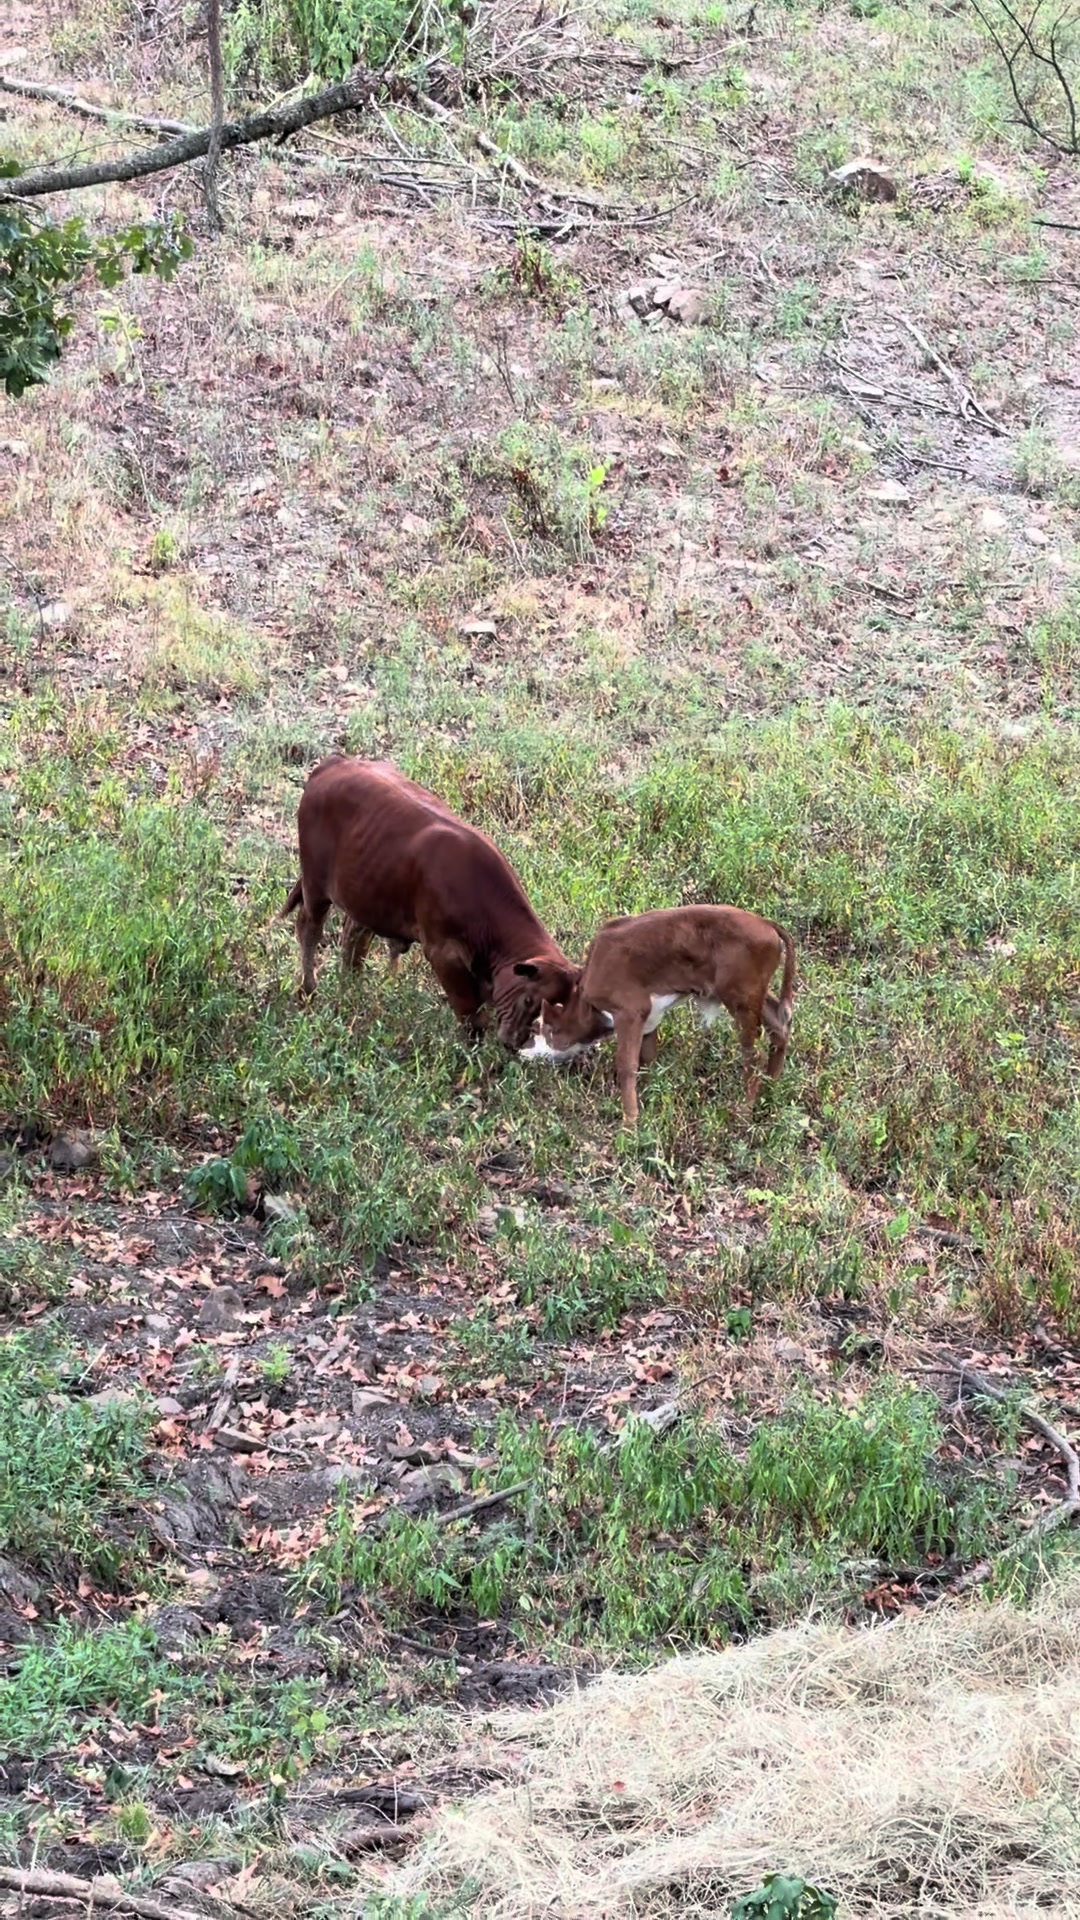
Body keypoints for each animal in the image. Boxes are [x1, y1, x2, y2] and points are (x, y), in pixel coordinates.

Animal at [280, 755, 576, 1050]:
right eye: (529, 999)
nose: (515, 1042)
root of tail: (336, 761)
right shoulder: (443, 953)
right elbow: (470, 1012)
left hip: (364, 890)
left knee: (354, 935)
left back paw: (352, 987)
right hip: (315, 883)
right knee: (309, 929)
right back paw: (308, 990)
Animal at [516, 905, 796, 1127]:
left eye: (543, 1028)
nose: (523, 1050)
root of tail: (765, 923)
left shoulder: (628, 1011)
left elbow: (626, 1064)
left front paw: (630, 1121)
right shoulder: (649, 1016)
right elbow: (647, 1056)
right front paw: (649, 1095)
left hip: (740, 998)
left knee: (754, 1054)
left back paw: (745, 1111)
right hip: (753, 994)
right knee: (778, 1026)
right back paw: (771, 1087)